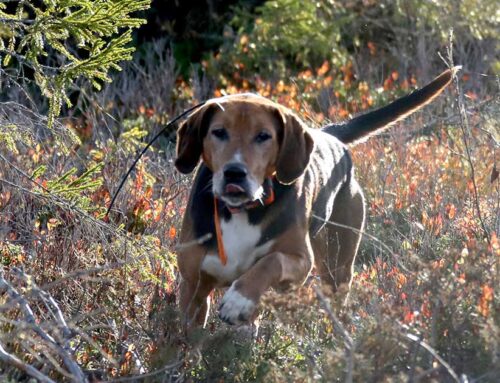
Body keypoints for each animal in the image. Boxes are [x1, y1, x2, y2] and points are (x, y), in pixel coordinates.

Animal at [176, 69, 458, 328]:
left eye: (263, 136)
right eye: (219, 132)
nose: (234, 173)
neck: (242, 211)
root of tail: (330, 135)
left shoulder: (300, 261)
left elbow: (270, 262)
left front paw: (238, 299)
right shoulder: (192, 288)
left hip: (337, 265)